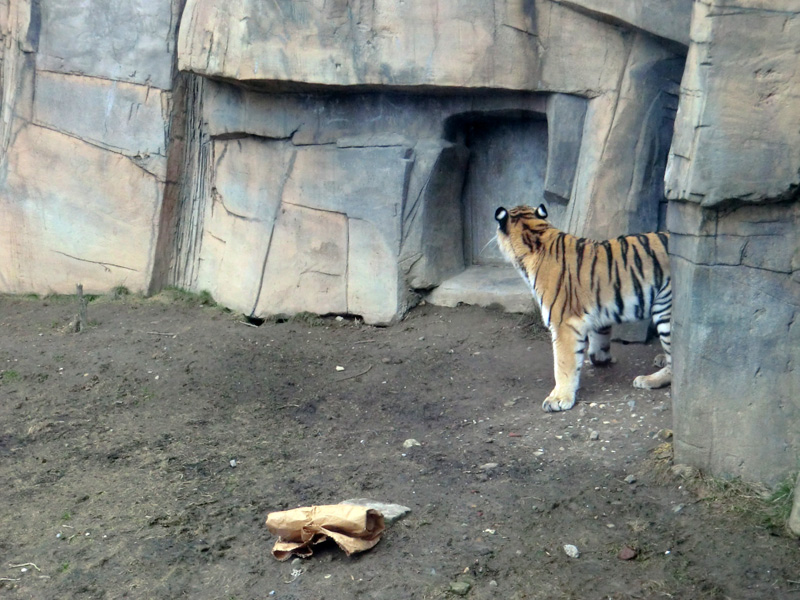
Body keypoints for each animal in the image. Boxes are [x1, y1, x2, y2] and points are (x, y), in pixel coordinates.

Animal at [494, 203, 668, 412]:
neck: (537, 233)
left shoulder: (563, 323)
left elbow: (563, 362)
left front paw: (559, 398)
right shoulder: (598, 309)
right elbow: (599, 336)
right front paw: (601, 358)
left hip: (665, 308)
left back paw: (649, 380)